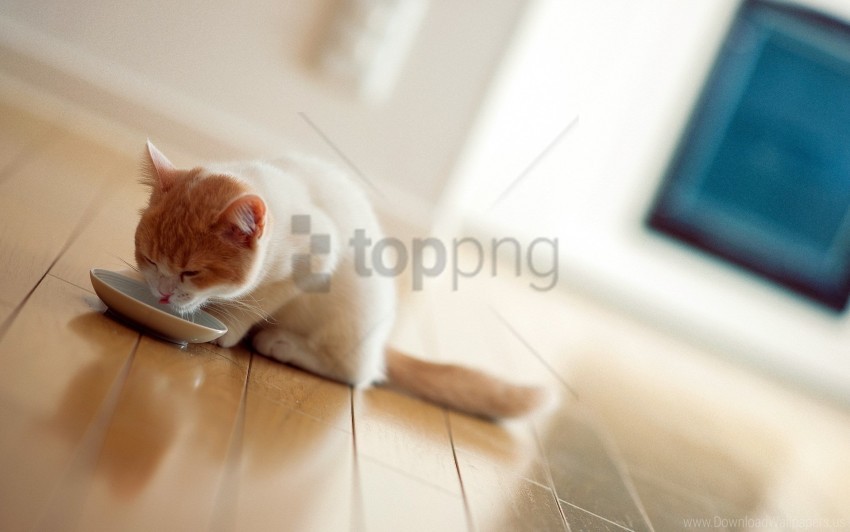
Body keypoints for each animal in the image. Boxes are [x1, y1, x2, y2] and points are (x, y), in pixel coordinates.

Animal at [133, 141, 556, 420]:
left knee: (356, 373)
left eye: (192, 272)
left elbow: (260, 299)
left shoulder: (317, 258)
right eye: (149, 258)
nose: (164, 294)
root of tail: (382, 340)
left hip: (348, 323)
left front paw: (227, 324)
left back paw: (283, 343)